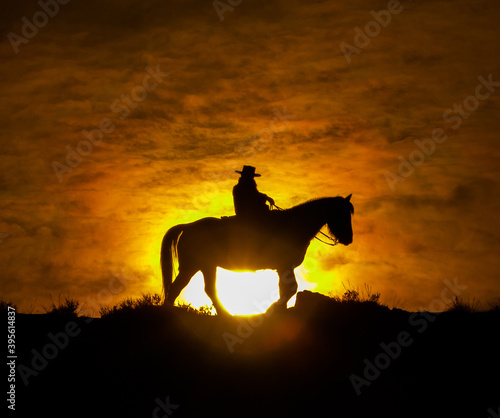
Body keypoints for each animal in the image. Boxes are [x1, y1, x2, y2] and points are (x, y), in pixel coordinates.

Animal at [159, 194, 352, 316]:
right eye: (341, 213)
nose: (348, 238)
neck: (293, 224)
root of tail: (188, 227)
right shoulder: (284, 266)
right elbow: (290, 289)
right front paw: (273, 309)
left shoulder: (283, 268)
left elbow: (285, 289)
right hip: (194, 266)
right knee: (181, 288)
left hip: (204, 266)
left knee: (202, 289)